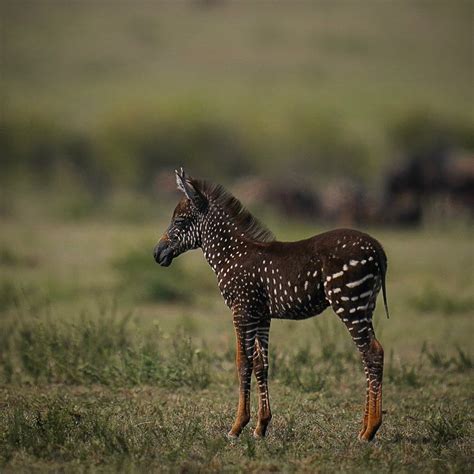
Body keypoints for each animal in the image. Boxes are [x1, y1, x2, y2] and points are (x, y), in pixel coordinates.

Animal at [156, 168, 388, 442]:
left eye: (180, 222)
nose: (157, 254)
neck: (231, 254)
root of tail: (377, 247)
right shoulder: (261, 315)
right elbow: (261, 364)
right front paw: (261, 426)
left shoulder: (242, 310)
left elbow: (242, 362)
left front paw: (237, 426)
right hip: (364, 306)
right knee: (368, 355)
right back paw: (364, 427)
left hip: (349, 304)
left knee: (372, 353)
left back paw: (370, 430)